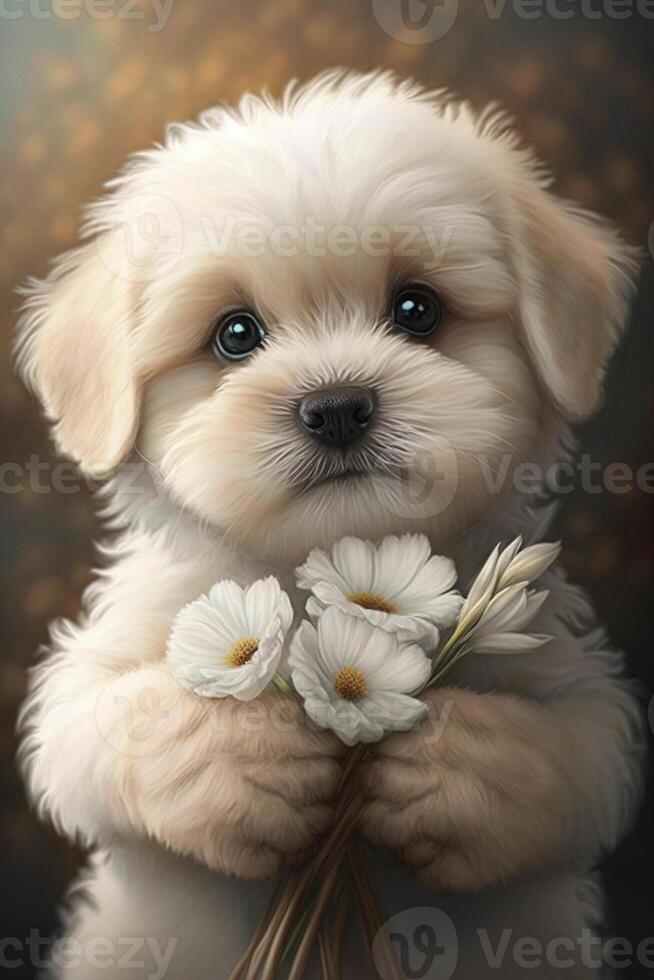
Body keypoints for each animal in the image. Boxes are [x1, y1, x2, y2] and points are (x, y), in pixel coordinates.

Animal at [16, 72, 644, 976]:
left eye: (417, 310)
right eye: (235, 334)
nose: (338, 405)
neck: (331, 561)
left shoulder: (559, 654)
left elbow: (584, 752)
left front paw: (453, 767)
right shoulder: (109, 654)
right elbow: (91, 725)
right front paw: (244, 759)